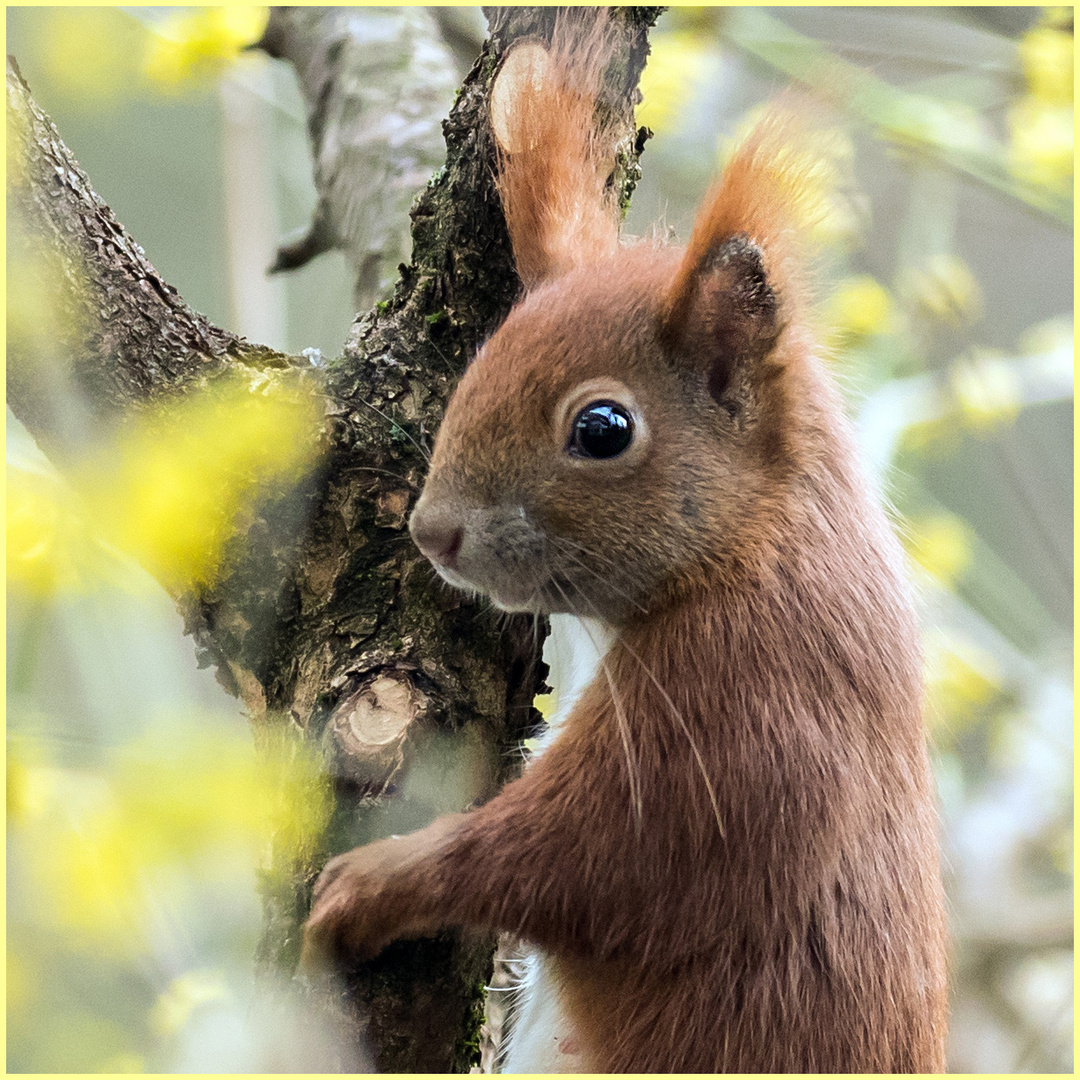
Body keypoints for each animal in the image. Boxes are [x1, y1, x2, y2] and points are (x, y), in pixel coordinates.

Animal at [302, 16, 946, 1071]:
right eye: (486, 353)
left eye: (602, 429)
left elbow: (597, 866)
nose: (433, 531)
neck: (749, 550)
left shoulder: (741, 714)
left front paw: (376, 884)